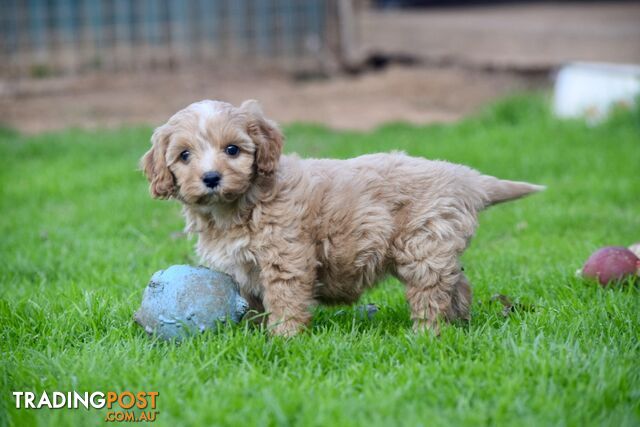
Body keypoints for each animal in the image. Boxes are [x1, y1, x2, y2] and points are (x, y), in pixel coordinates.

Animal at [141, 100, 544, 338]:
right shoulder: (241, 269)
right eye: (184, 155)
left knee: (431, 294)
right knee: (458, 284)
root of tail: (465, 178)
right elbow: (252, 302)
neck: (236, 208)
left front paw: (283, 339)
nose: (211, 178)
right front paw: (253, 335)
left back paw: (426, 335)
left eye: (232, 150)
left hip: (423, 245)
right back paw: (459, 324)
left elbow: (285, 299)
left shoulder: (286, 257)